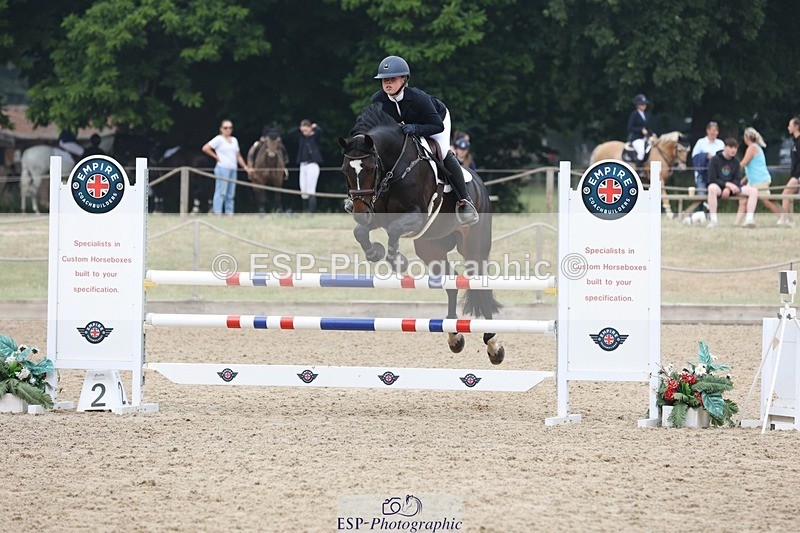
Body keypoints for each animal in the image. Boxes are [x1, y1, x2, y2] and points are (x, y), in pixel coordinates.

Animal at [338, 103, 505, 365]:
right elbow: (360, 232)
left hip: (473, 245)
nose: (359, 212)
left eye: (371, 168)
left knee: (480, 283)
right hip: (431, 247)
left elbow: (394, 230)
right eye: (345, 169)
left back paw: (493, 344)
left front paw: (397, 261)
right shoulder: (376, 214)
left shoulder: (416, 216)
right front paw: (376, 252)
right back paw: (454, 337)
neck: (394, 168)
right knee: (451, 283)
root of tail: (479, 184)